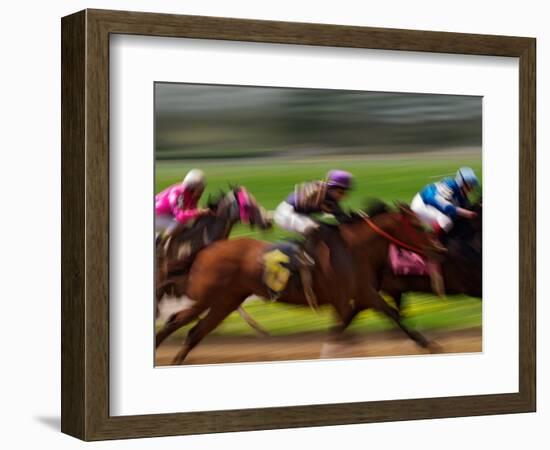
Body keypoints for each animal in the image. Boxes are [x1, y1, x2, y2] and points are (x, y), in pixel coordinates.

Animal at [156, 205, 448, 366]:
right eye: (416, 225)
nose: (438, 248)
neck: (356, 250)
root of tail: (207, 249)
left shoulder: (359, 297)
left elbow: (357, 323)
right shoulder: (353, 297)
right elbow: (381, 318)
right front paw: (431, 345)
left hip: (227, 301)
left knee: (193, 331)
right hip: (208, 297)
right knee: (177, 323)